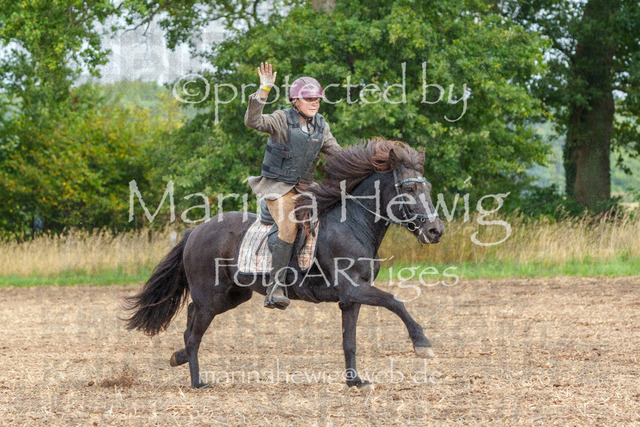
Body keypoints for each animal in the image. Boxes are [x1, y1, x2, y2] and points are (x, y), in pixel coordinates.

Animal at [122, 139, 445, 390]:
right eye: (409, 190)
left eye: (427, 187)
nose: (435, 230)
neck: (352, 224)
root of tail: (195, 231)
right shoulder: (354, 288)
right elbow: (395, 301)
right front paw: (422, 344)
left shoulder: (350, 299)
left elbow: (349, 340)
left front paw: (355, 381)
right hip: (211, 298)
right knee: (193, 332)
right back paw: (197, 381)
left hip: (232, 296)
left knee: (191, 320)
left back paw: (178, 358)